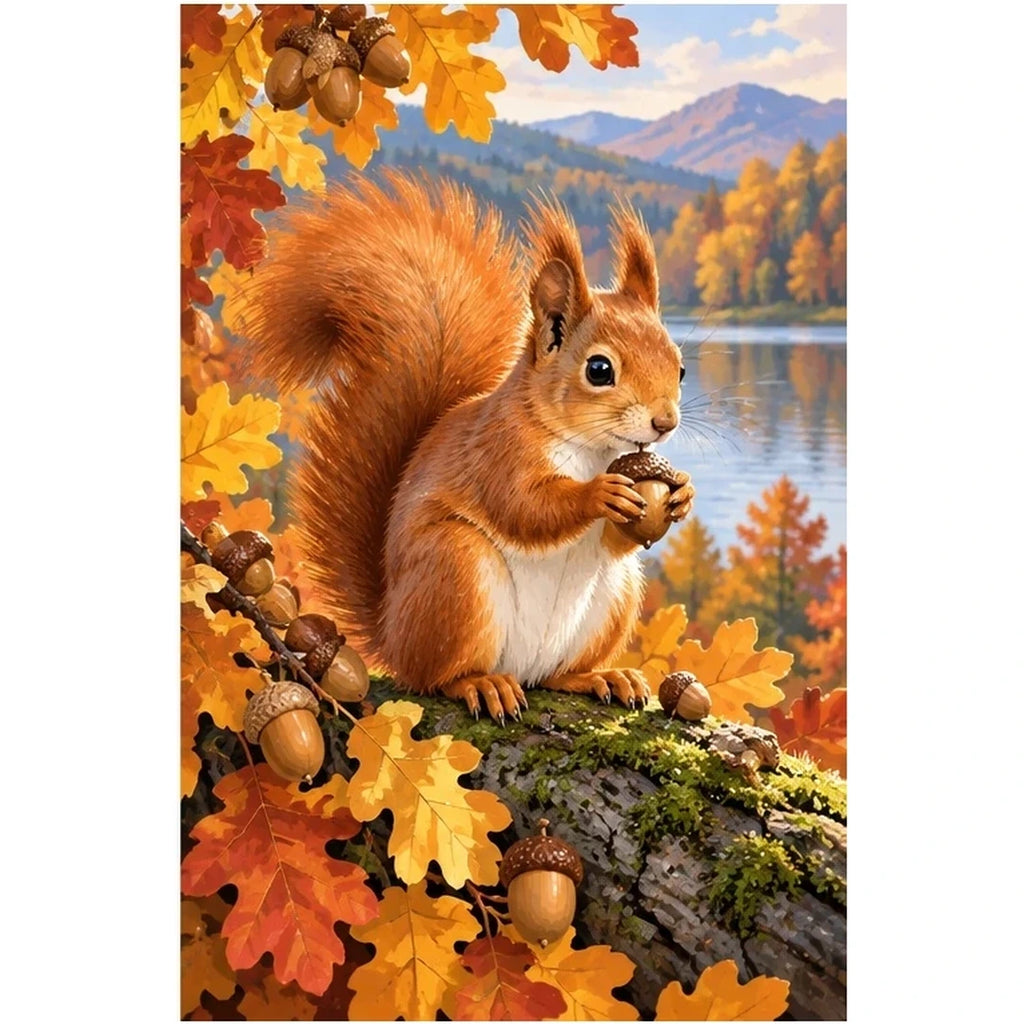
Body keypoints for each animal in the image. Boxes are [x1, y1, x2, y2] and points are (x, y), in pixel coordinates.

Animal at [245, 172, 695, 723]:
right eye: (599, 369)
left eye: (680, 367)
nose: (665, 422)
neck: (594, 450)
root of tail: (393, 634)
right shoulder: (495, 451)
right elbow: (525, 508)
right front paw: (599, 495)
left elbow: (615, 539)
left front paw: (681, 494)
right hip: (455, 573)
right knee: (436, 676)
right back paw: (481, 684)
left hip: (616, 595)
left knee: (558, 672)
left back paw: (599, 675)